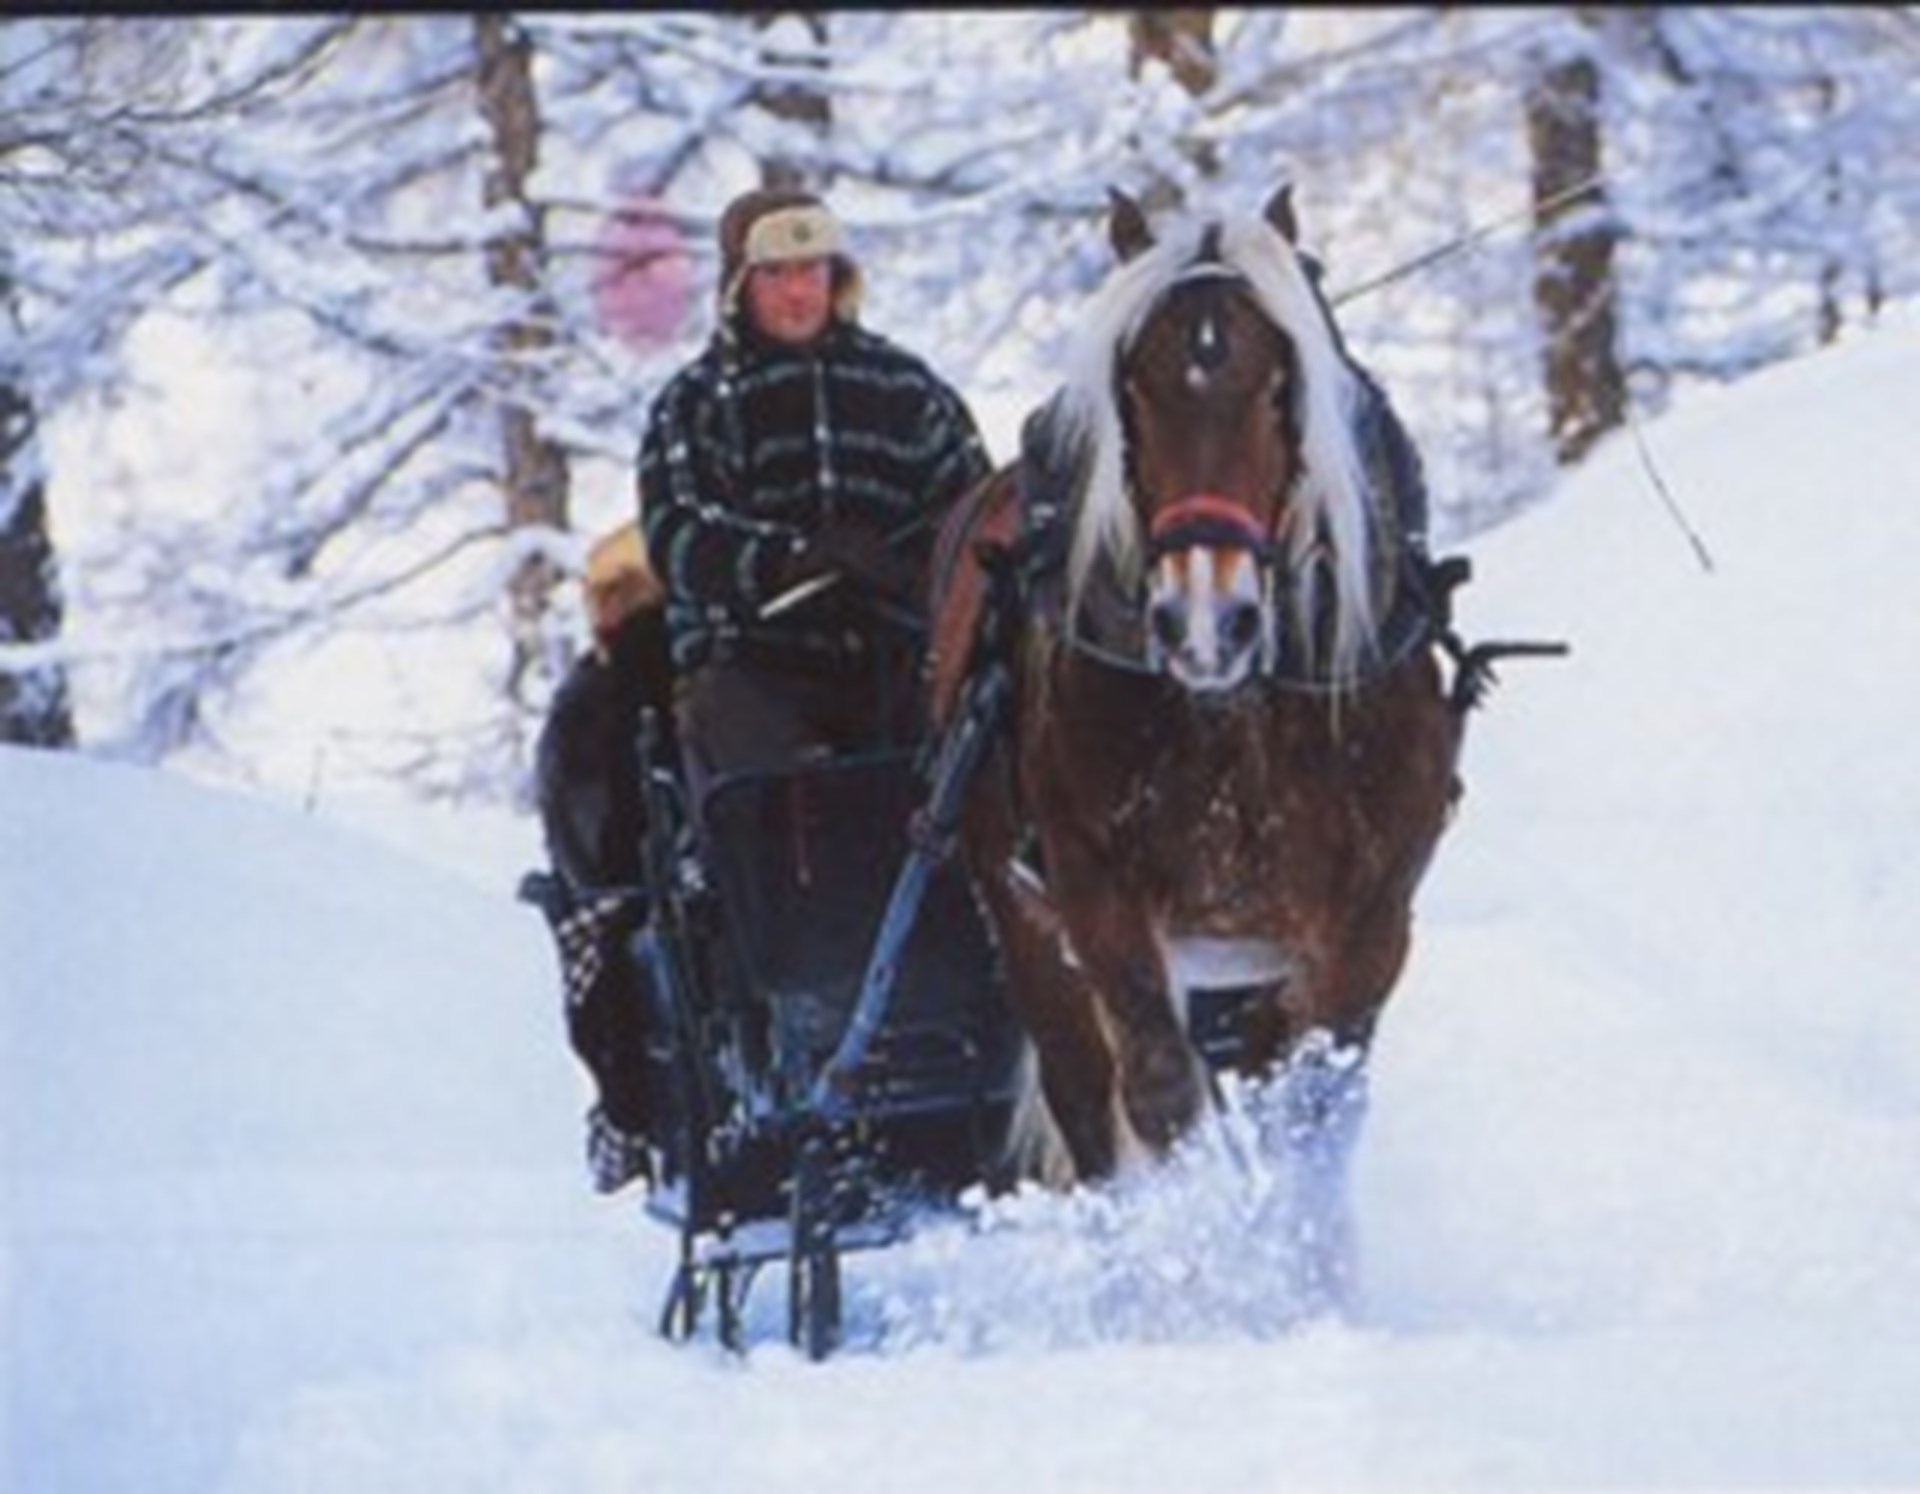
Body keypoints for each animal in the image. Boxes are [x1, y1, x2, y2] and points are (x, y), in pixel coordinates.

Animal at [927, 185, 1468, 1300]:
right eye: (1130, 389)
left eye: (1281, 386)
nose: (1205, 623)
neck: (1238, 710)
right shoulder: (1100, 905)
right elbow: (1164, 1102)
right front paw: (1207, 1276)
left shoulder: (1366, 927)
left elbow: (1309, 1118)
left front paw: (1303, 1275)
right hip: (1027, 930)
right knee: (1095, 1108)